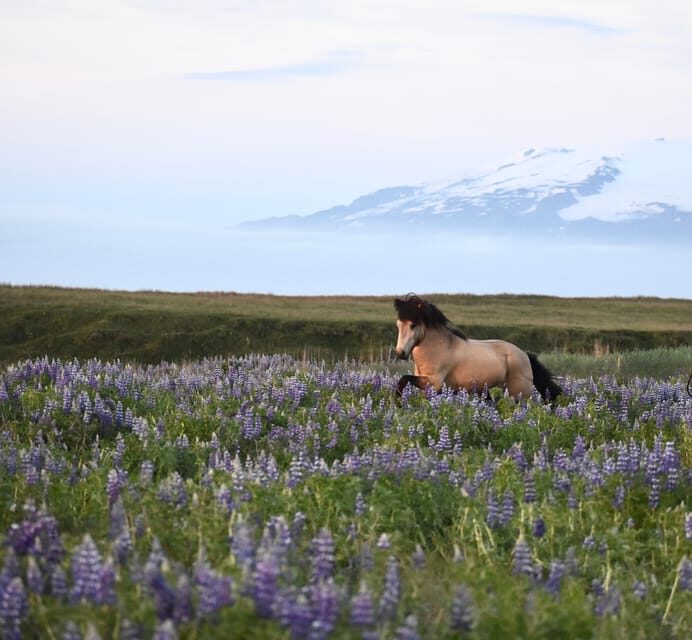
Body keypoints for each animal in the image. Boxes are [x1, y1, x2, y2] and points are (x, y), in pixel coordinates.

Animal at [394, 294, 562, 401]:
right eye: (398, 324)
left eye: (413, 325)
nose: (400, 353)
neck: (439, 348)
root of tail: (525, 355)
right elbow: (404, 381)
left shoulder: (434, 383)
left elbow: (403, 379)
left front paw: (398, 403)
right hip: (486, 389)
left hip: (519, 392)